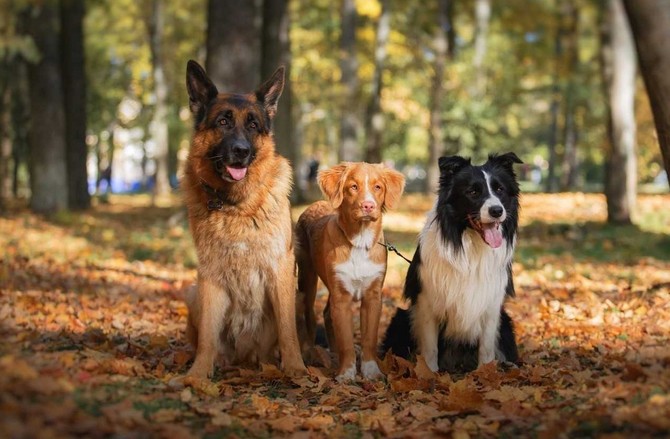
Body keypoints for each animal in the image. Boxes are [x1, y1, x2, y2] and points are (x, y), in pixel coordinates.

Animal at [184, 60, 310, 380]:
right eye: (222, 122)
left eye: (253, 125)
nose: (241, 152)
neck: (235, 206)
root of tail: (245, 356)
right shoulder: (210, 274)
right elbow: (208, 335)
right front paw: (198, 374)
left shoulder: (280, 268)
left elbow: (288, 330)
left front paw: (295, 368)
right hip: (193, 293)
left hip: (298, 297)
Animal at [298, 162, 404, 382]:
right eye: (353, 187)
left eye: (378, 187)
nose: (368, 206)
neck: (360, 242)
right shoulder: (341, 297)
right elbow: (346, 339)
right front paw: (347, 373)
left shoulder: (373, 296)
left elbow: (369, 338)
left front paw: (371, 371)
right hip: (308, 278)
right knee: (310, 316)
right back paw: (311, 354)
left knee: (326, 313)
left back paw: (333, 354)